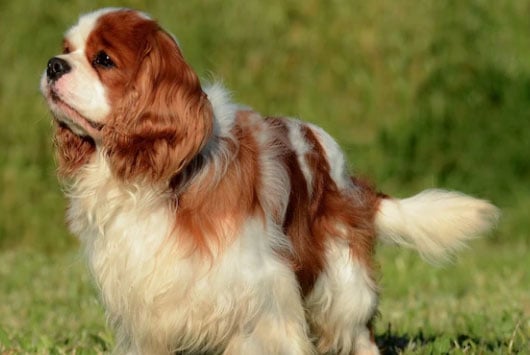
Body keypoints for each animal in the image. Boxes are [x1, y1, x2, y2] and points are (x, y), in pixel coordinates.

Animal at [40, 8, 496, 355]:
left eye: (103, 60)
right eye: (67, 50)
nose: (53, 64)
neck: (161, 177)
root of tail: (348, 177)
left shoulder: (262, 289)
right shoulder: (147, 303)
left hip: (341, 278)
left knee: (358, 331)